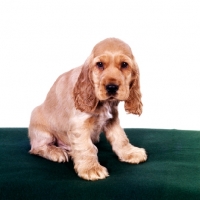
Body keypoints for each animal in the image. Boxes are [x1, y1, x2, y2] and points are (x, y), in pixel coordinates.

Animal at [28, 37, 147, 180]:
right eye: (100, 64)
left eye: (124, 64)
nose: (111, 87)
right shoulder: (79, 124)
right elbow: (86, 147)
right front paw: (91, 168)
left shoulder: (112, 119)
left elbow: (121, 138)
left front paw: (130, 152)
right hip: (41, 129)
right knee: (37, 147)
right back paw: (57, 152)